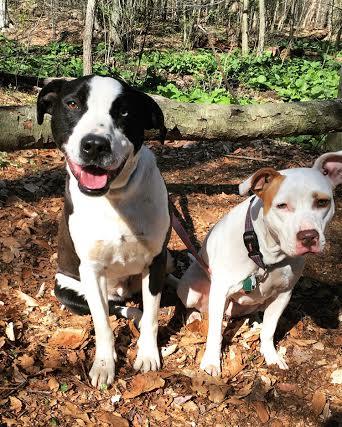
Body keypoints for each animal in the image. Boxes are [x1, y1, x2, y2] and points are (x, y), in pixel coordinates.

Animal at [37, 76, 171, 388]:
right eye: (72, 103)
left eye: (124, 112)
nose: (95, 145)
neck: (115, 196)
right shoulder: (91, 270)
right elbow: (102, 322)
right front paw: (104, 364)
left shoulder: (157, 262)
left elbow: (153, 314)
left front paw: (148, 354)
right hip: (67, 290)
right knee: (113, 308)